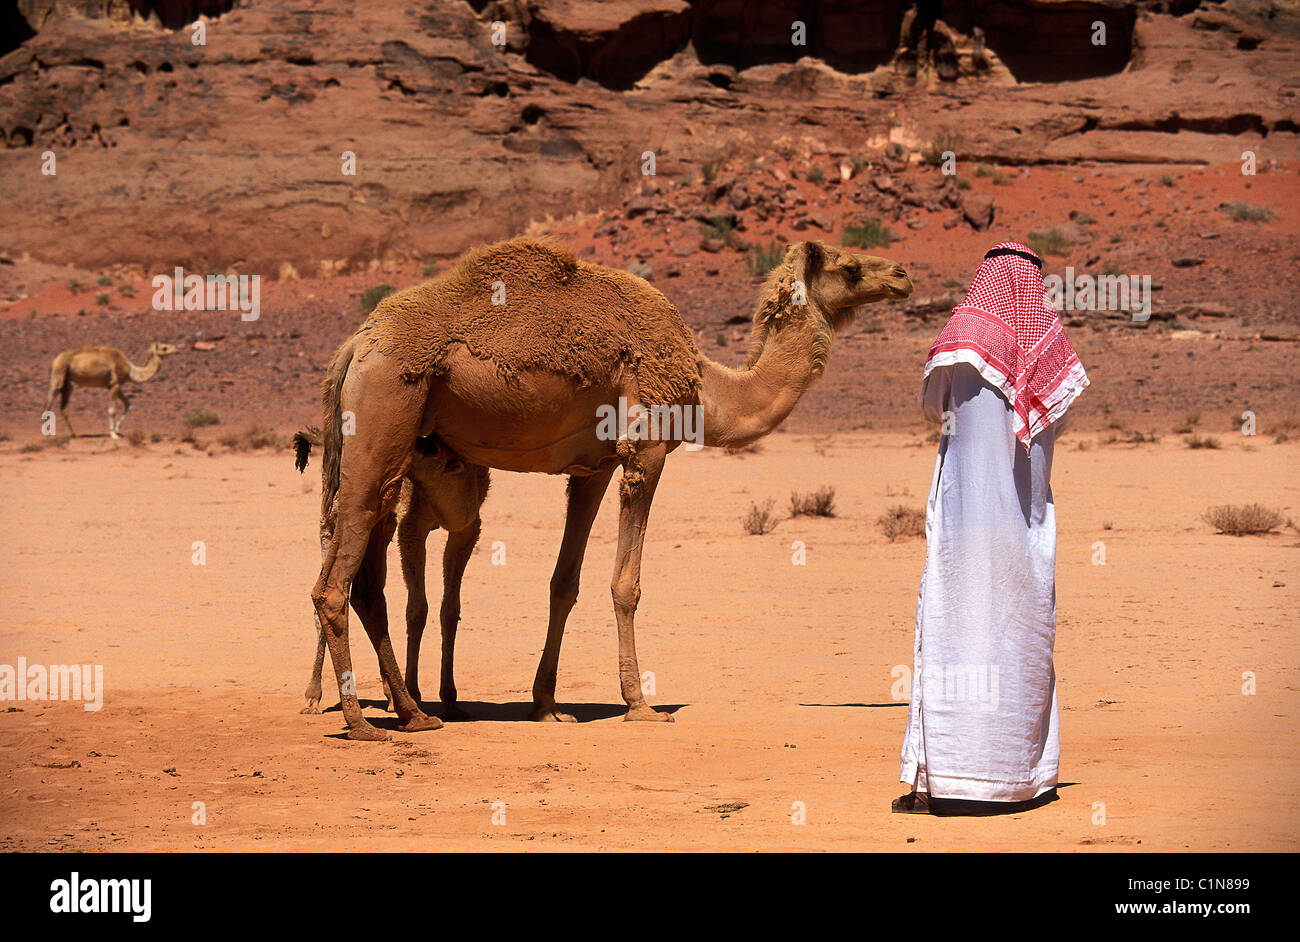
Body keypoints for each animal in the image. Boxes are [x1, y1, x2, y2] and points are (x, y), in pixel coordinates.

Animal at [43, 343, 178, 436]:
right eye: (164, 347)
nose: (177, 349)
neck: (131, 370)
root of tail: (54, 361)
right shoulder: (114, 384)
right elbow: (112, 410)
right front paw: (113, 434)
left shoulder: (116, 385)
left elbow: (128, 404)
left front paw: (117, 430)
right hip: (58, 375)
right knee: (48, 404)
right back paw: (48, 435)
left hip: (67, 384)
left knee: (63, 407)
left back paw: (74, 434)